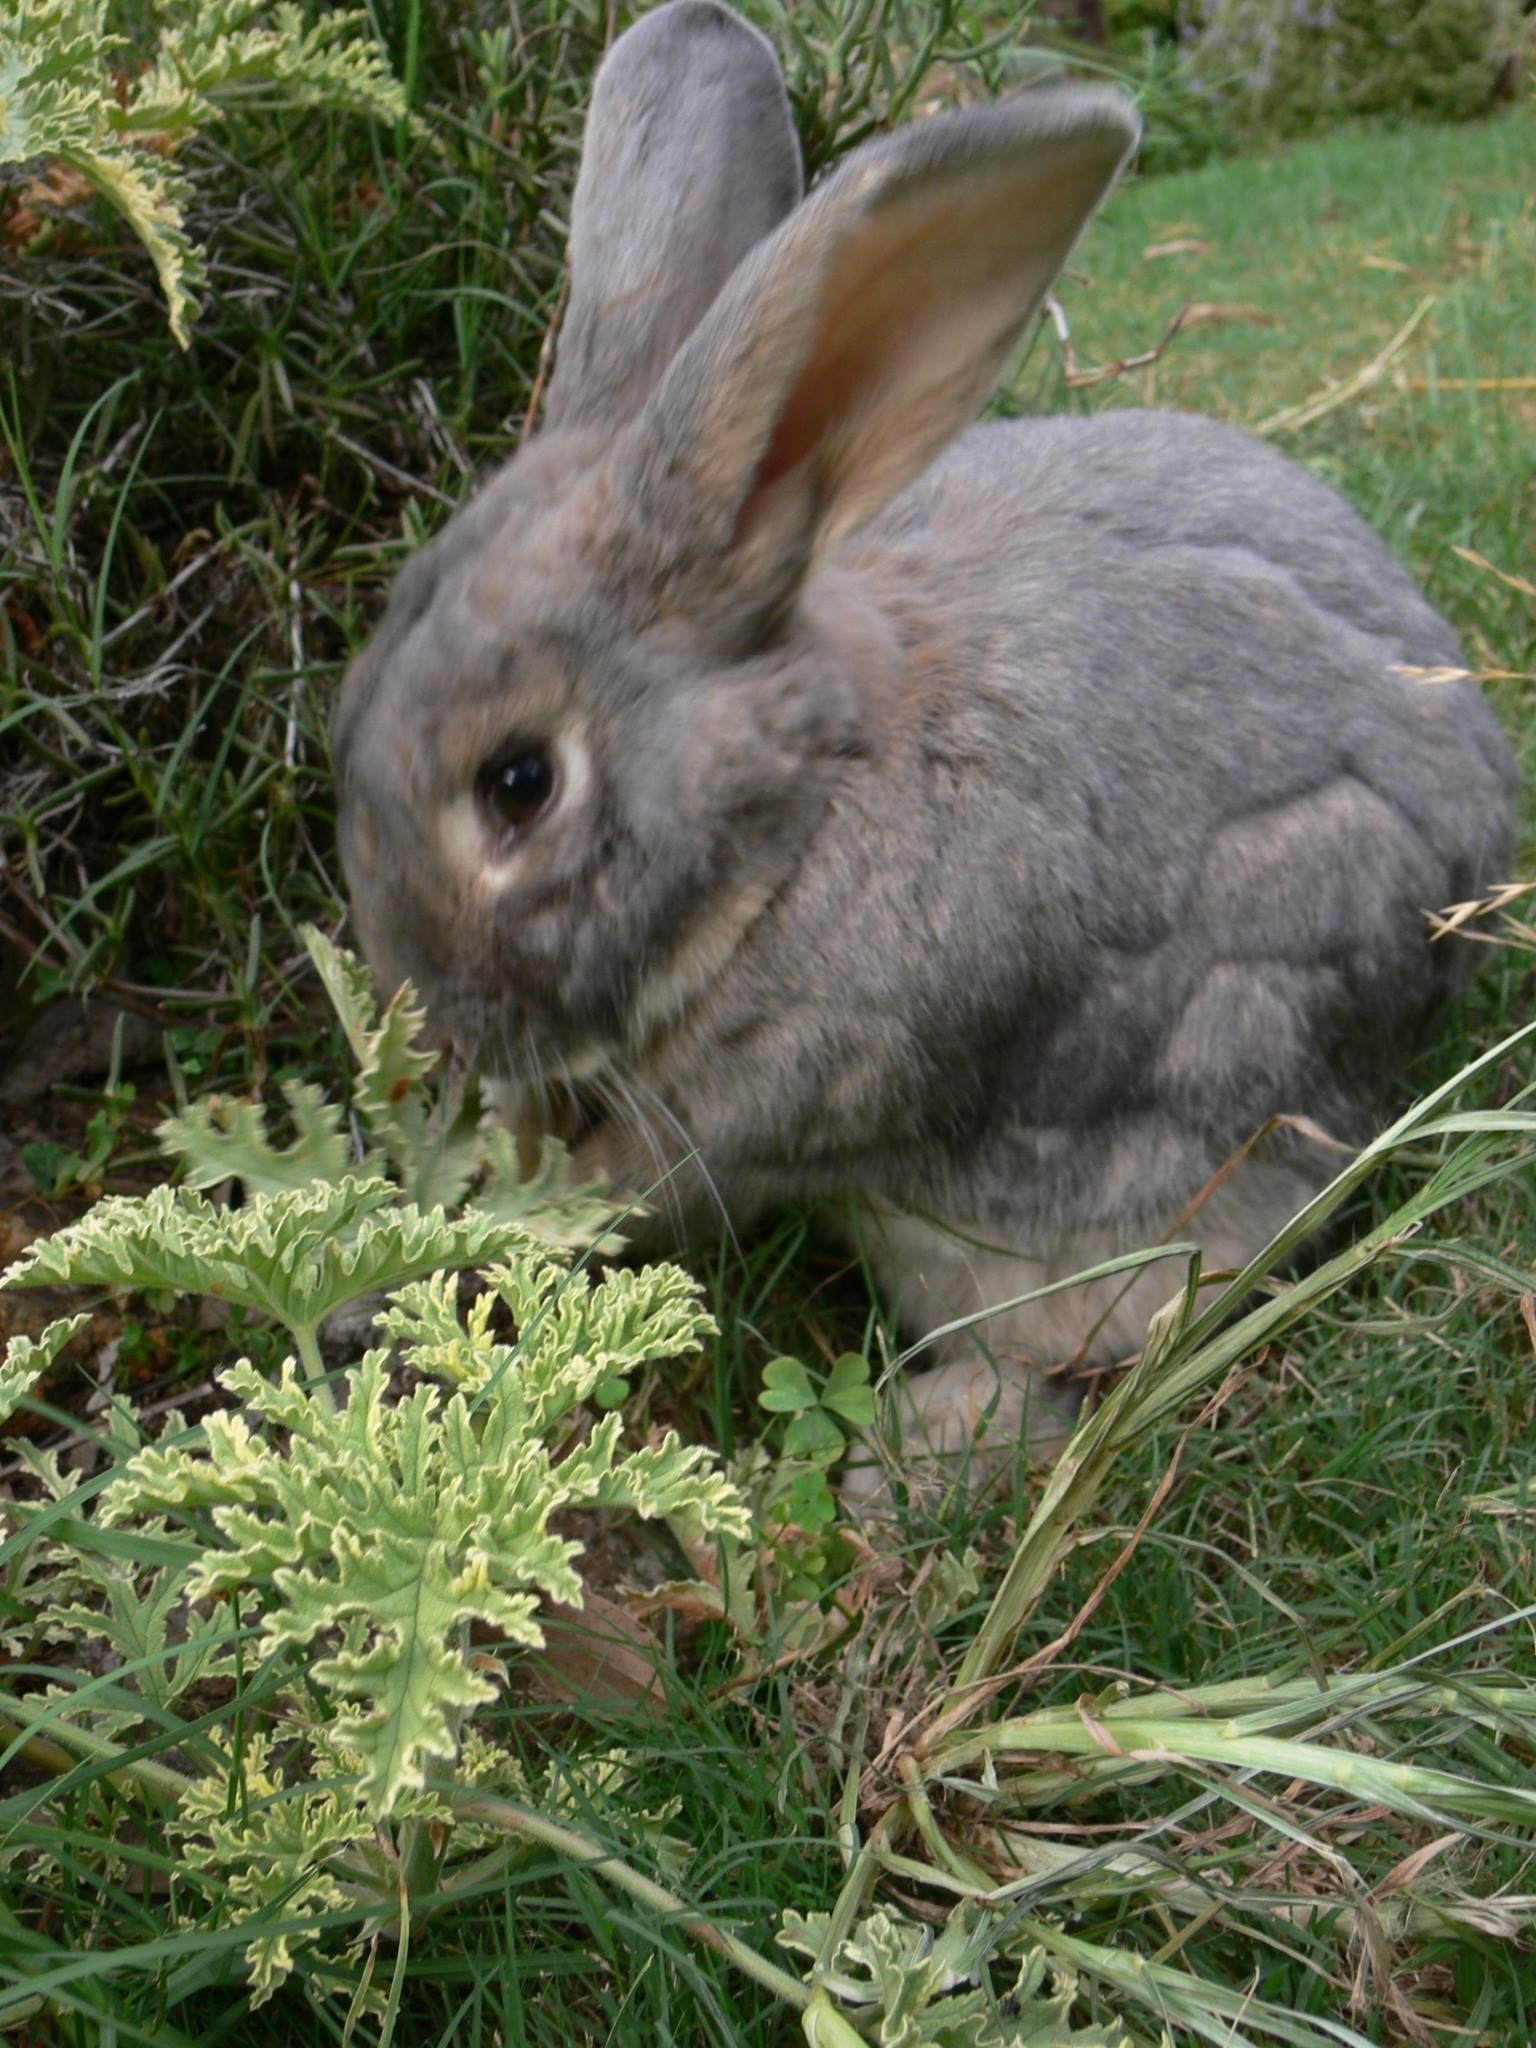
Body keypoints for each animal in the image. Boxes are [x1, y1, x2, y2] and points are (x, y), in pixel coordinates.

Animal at [332, 0, 1517, 1496]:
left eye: (519, 783)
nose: (427, 1012)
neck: (801, 814)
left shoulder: (764, 1110)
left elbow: (629, 1194)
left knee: (1102, 1351)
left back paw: (904, 1465)